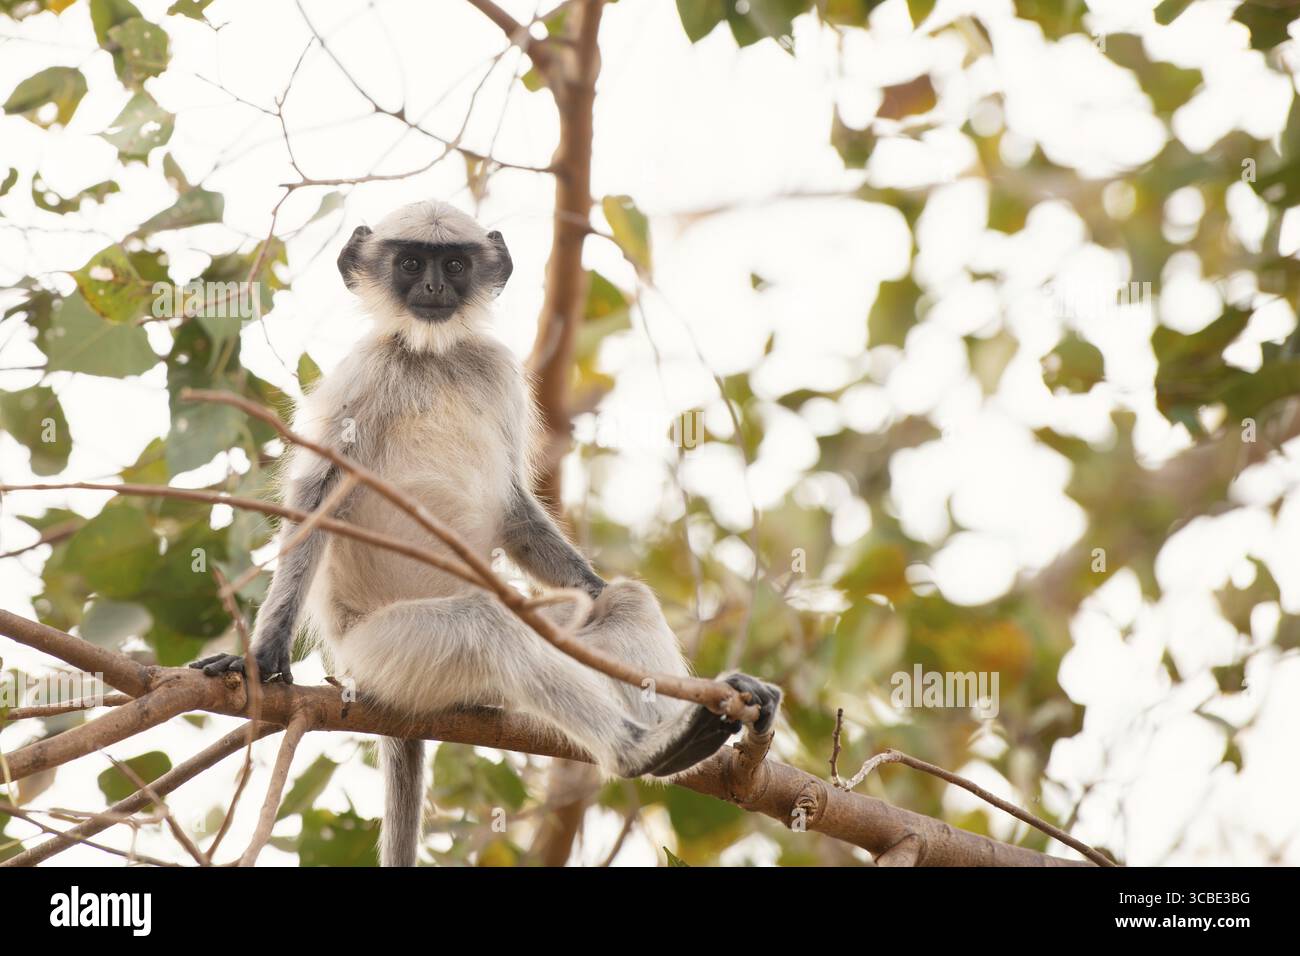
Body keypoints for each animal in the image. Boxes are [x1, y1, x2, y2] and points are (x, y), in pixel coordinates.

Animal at [191, 200, 781, 866]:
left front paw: (594, 585)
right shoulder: (362, 372)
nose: (432, 289)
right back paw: (643, 750)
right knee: (486, 626)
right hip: (382, 658)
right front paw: (263, 657)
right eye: (410, 262)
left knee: (618, 603)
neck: (433, 356)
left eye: (454, 264)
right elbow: (317, 495)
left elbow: (514, 509)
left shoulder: (496, 371)